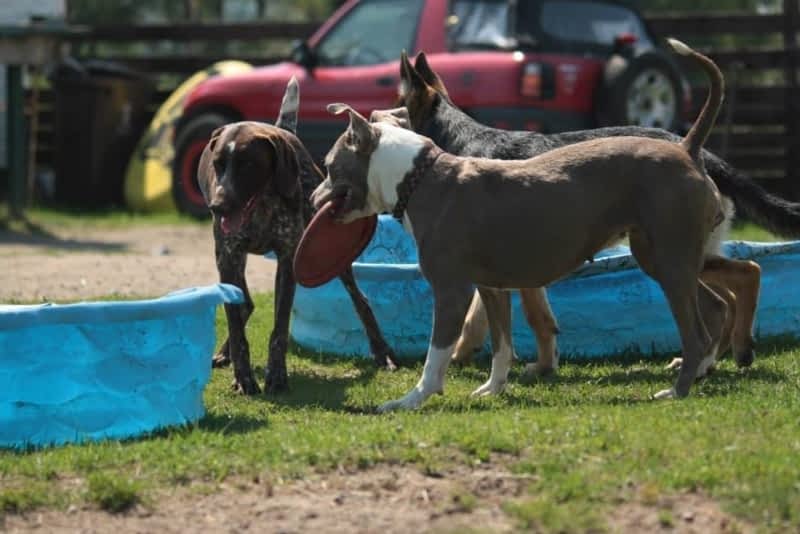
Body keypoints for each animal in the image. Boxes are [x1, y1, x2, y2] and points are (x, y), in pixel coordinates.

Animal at [197, 77, 396, 396]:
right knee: (244, 305)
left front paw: (277, 376)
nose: (218, 206)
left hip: (339, 263)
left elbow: (279, 328)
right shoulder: (228, 258)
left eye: (248, 165)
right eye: (218, 164)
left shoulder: (289, 260)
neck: (261, 208)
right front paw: (243, 377)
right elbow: (236, 324)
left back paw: (381, 352)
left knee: (361, 299)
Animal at [314, 39, 732, 412]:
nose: (313, 198)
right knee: (713, 308)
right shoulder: (492, 288)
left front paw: (411, 399)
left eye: (330, 166)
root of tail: (687, 148)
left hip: (671, 259)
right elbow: (502, 346)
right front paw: (492, 389)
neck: (419, 177)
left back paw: (676, 391)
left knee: (695, 332)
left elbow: (437, 355)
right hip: (661, 257)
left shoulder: (452, 291)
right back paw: (698, 373)